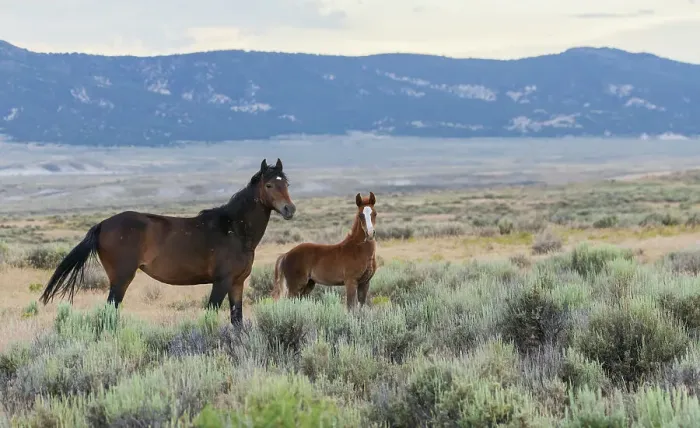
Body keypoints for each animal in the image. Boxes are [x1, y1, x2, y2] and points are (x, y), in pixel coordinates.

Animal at [39, 158, 296, 327]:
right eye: (269, 185)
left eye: (286, 184)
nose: (289, 209)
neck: (234, 230)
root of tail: (103, 224)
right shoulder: (221, 282)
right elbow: (211, 314)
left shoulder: (237, 283)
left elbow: (237, 320)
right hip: (121, 279)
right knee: (109, 312)